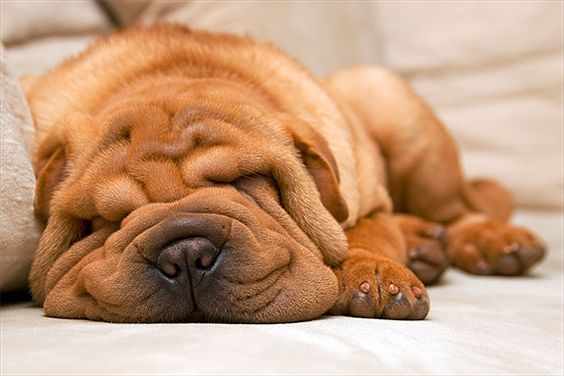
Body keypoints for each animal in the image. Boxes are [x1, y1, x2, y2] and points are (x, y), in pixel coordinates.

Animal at [23, 24, 548, 324]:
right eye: (104, 221)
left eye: (250, 186)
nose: (186, 252)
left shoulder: (367, 196)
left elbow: (366, 231)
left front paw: (375, 272)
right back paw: (424, 244)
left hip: (390, 104)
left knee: (459, 211)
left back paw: (490, 240)